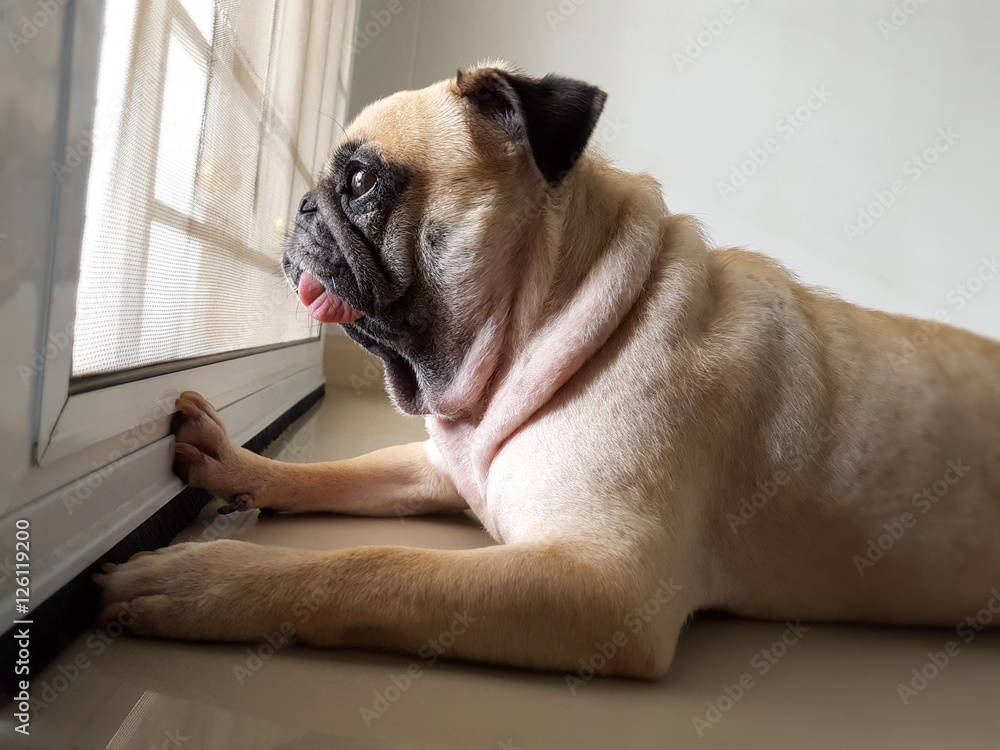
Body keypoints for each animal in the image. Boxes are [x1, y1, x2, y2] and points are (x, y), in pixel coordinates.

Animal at [97, 61, 1000, 680]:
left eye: (358, 180)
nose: (303, 204)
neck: (560, 325)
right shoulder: (442, 467)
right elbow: (338, 474)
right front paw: (237, 465)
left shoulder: (597, 586)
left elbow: (369, 568)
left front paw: (205, 578)